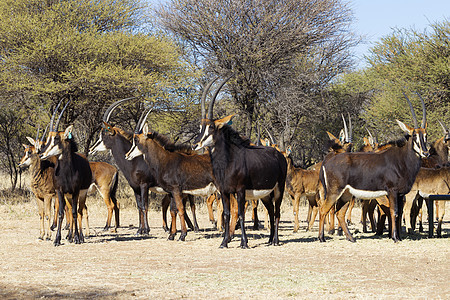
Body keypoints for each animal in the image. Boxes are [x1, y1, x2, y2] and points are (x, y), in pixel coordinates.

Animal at [40, 101, 93, 246]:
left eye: (56, 138)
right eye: (48, 138)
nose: (41, 154)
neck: (67, 172)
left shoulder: (75, 192)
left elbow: (74, 213)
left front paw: (77, 238)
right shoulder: (60, 191)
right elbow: (61, 213)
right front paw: (57, 239)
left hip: (81, 194)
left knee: (79, 212)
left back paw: (79, 236)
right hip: (68, 196)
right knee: (69, 210)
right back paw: (70, 236)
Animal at [192, 75, 286, 248]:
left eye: (211, 127)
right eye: (200, 127)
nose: (195, 145)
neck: (227, 162)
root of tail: (279, 155)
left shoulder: (240, 191)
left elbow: (241, 214)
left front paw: (244, 242)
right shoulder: (224, 191)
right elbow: (227, 214)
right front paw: (223, 242)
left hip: (278, 189)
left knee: (276, 212)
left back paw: (276, 240)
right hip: (265, 194)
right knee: (270, 211)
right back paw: (270, 240)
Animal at [318, 92, 428, 243]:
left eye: (426, 135)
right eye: (414, 135)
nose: (425, 153)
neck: (402, 159)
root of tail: (327, 162)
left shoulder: (400, 194)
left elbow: (399, 214)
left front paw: (399, 237)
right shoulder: (392, 191)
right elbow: (394, 212)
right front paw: (395, 237)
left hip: (346, 194)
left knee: (339, 212)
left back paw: (351, 238)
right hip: (334, 191)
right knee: (324, 209)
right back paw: (322, 238)